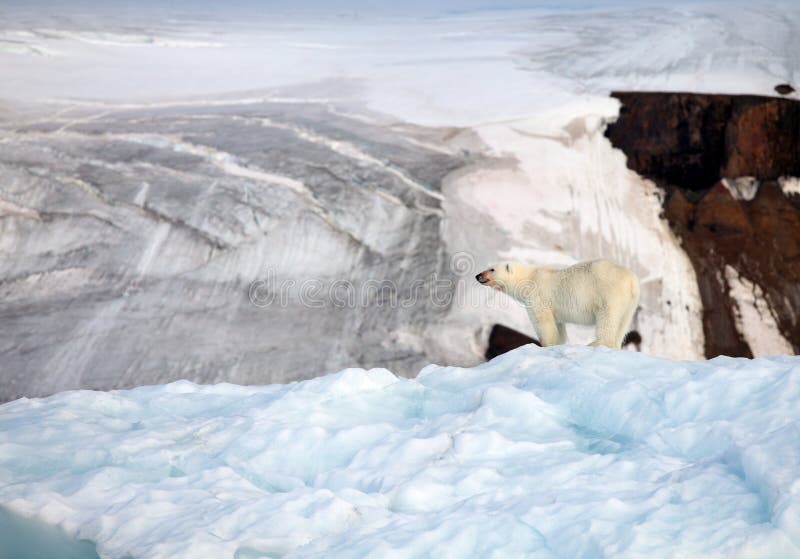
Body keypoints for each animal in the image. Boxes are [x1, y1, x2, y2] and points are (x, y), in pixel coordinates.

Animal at [478, 260, 640, 348]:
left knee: (607, 319)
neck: (529, 278)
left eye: (492, 269)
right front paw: (558, 342)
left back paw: (593, 344)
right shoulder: (555, 311)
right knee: (622, 325)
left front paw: (546, 345)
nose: (478, 276)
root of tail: (631, 280)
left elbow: (543, 322)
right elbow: (558, 326)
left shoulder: (538, 297)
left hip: (608, 294)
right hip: (630, 304)